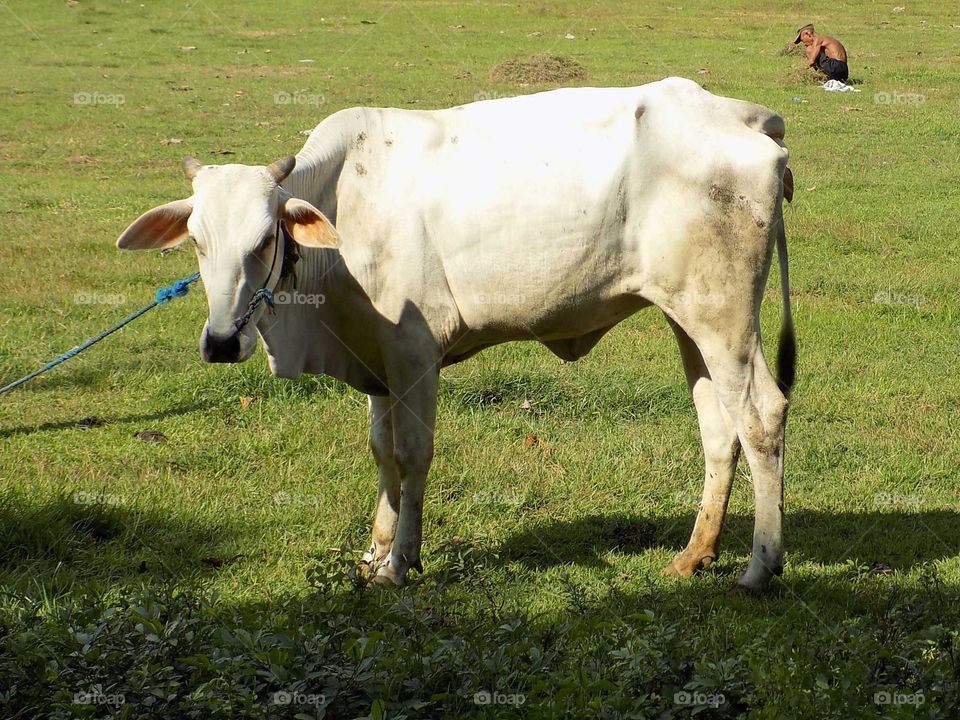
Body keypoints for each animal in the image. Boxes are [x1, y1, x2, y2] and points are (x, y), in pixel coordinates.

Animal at [116, 77, 795, 593]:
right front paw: (375, 552)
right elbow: (382, 451)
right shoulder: (377, 362)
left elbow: (413, 455)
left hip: (724, 317)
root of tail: (747, 118)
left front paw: (399, 564)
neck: (344, 199)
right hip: (688, 320)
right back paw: (695, 555)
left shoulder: (414, 352)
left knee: (761, 416)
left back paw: (760, 567)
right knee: (718, 429)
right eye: (197, 241)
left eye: (264, 239)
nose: (222, 342)